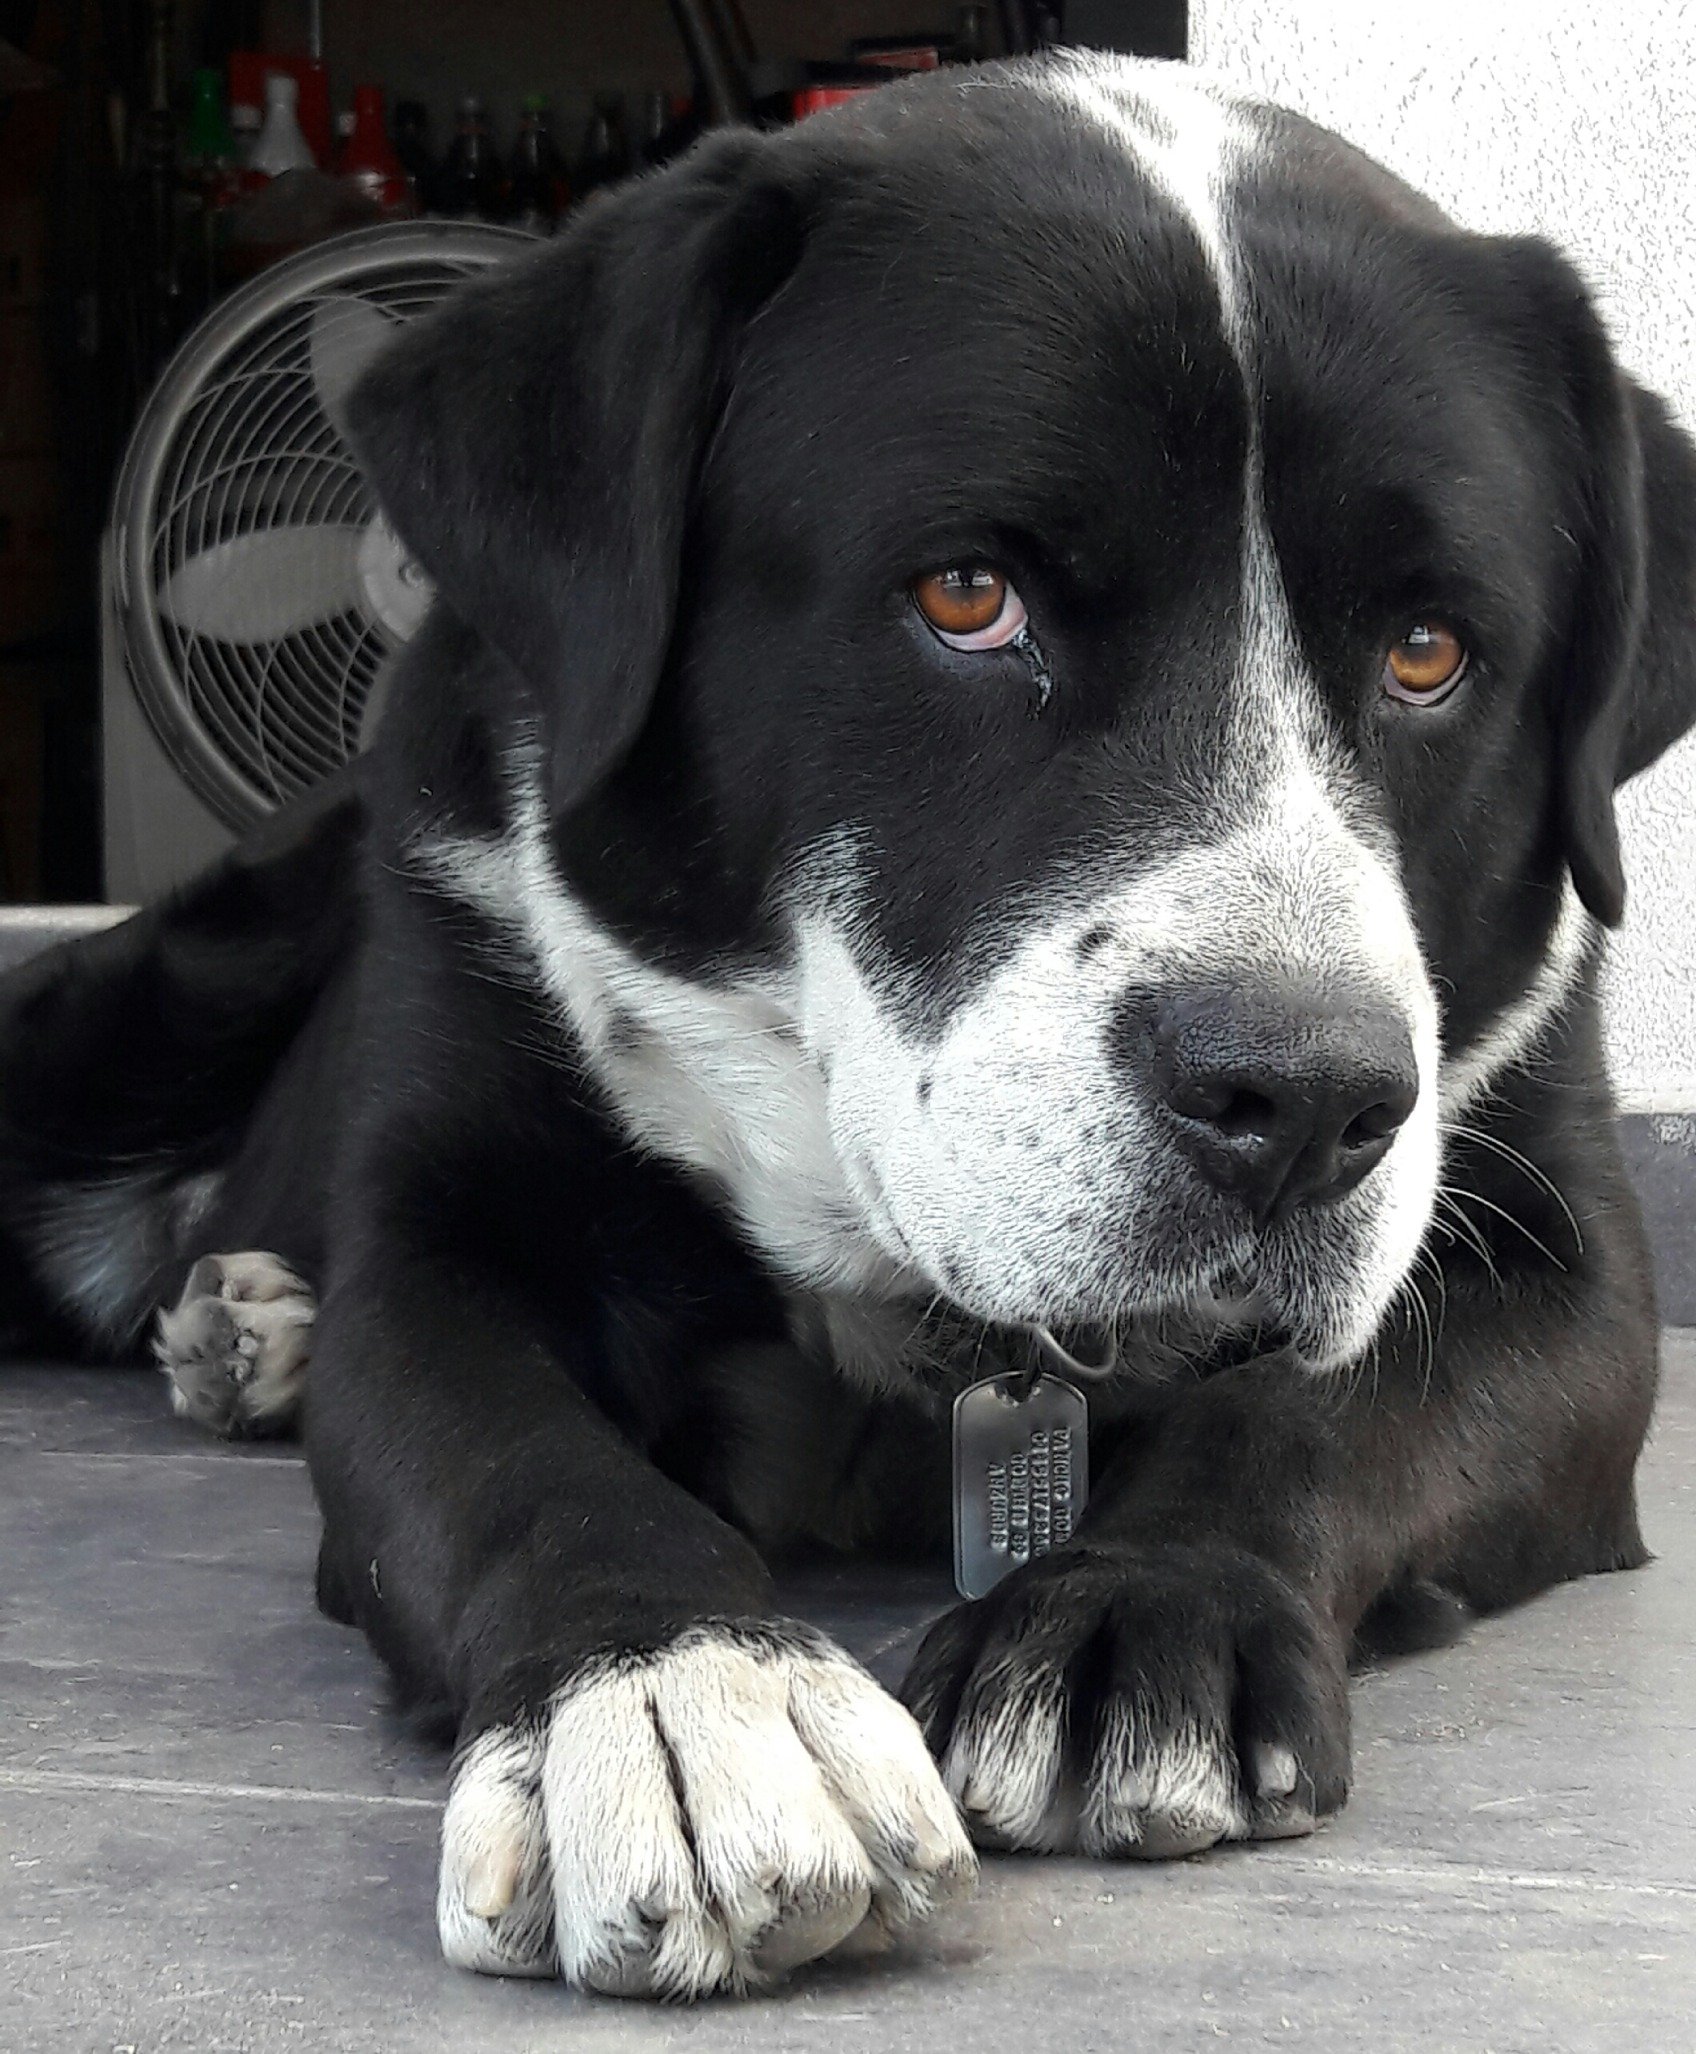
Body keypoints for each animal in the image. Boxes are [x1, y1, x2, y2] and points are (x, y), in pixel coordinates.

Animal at [3, 48, 1691, 1996]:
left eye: (1431, 653)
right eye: (968, 595)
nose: (1301, 1099)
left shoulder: (1562, 1269)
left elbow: (1322, 1408)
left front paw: (1134, 1608)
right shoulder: (446, 1232)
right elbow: (516, 1453)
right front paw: (682, 1696)